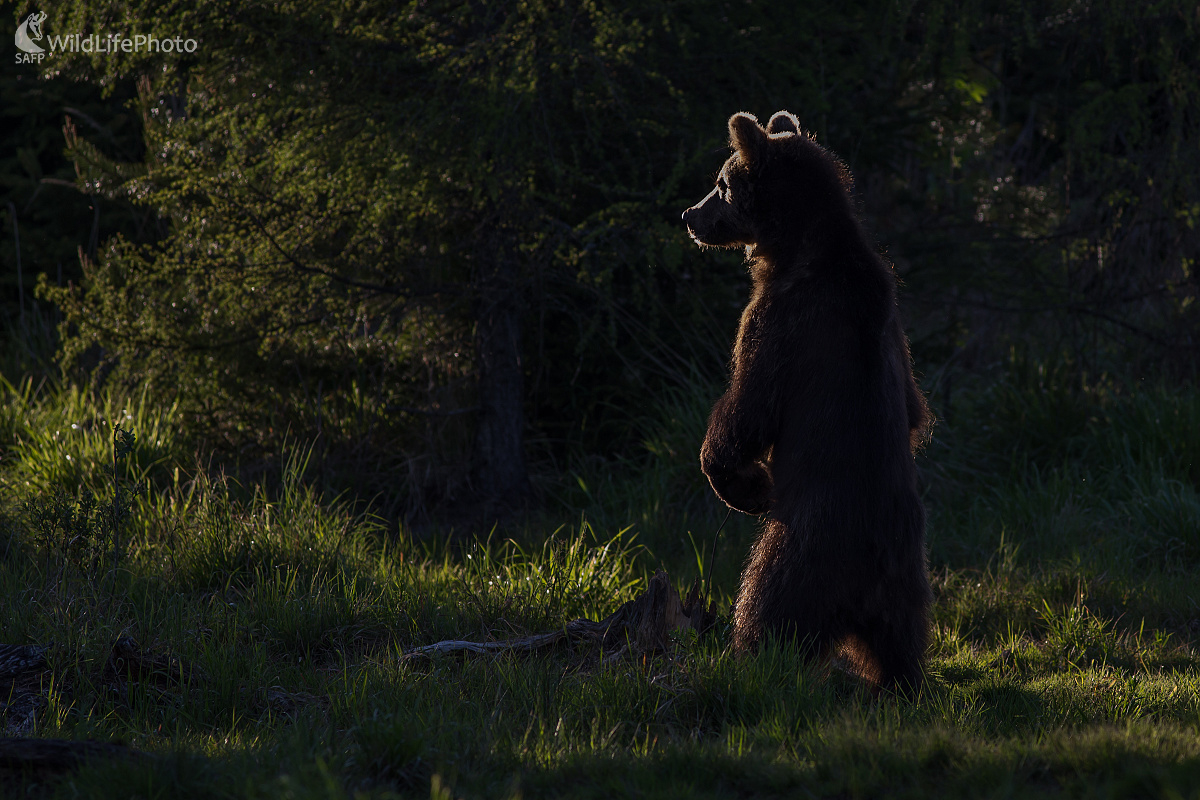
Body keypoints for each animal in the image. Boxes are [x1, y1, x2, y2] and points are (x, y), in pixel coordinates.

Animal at [686, 109, 926, 690]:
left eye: (721, 184)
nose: (689, 215)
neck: (800, 248)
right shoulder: (895, 327)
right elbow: (914, 411)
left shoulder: (780, 320)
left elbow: (749, 406)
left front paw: (744, 484)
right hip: (912, 576)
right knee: (905, 640)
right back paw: (900, 682)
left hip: (801, 554)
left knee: (766, 611)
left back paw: (746, 662)